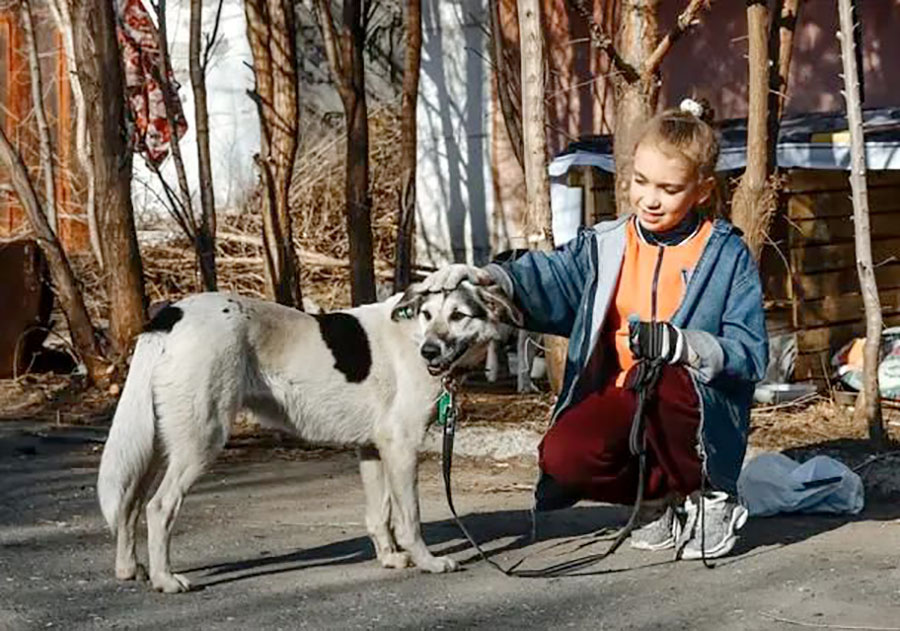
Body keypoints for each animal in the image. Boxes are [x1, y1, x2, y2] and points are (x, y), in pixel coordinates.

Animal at [96, 284, 520, 596]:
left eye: (459, 316)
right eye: (428, 315)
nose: (429, 351)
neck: (412, 334)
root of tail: (172, 313)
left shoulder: (373, 449)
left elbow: (379, 513)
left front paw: (389, 557)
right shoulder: (401, 447)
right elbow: (409, 519)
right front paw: (428, 562)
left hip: (155, 443)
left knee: (129, 504)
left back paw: (128, 569)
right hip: (201, 440)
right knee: (158, 507)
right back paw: (165, 579)